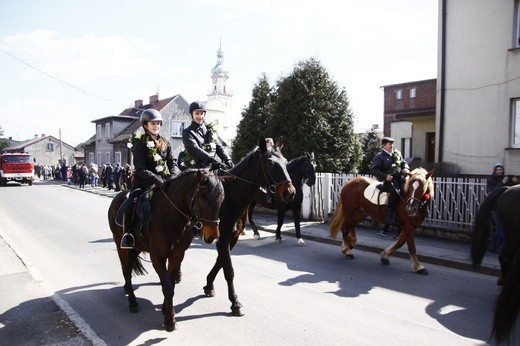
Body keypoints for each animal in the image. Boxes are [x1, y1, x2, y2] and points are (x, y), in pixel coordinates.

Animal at [107, 169, 223, 332]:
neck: (171, 218)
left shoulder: (177, 256)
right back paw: (132, 301)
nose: (212, 235)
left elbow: (171, 283)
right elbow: (167, 287)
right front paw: (170, 321)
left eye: (222, 199)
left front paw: (166, 309)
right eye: (203, 198)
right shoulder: (157, 257)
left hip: (137, 247)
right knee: (126, 271)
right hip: (120, 245)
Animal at [201, 138, 294, 316]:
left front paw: (209, 285)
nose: (290, 193)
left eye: (286, 162)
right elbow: (229, 270)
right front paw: (235, 303)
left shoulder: (232, 238)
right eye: (270, 163)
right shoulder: (223, 239)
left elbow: (221, 262)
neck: (229, 197)